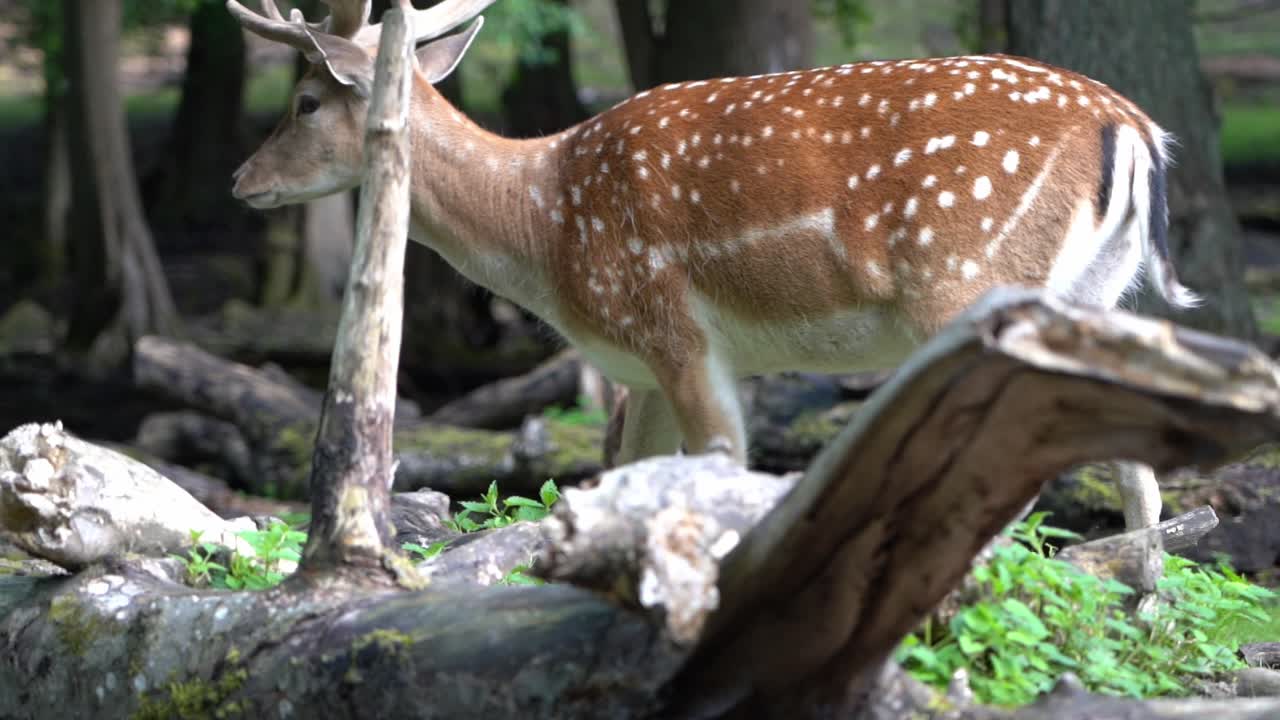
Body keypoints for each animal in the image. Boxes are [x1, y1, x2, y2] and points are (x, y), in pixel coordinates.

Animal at [227, 0, 1200, 531]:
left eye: (304, 101)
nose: (241, 180)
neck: (543, 228)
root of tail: (1135, 132)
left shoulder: (672, 325)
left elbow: (721, 468)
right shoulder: (640, 367)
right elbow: (627, 479)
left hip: (967, 278)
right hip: (1099, 297)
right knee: (1138, 472)